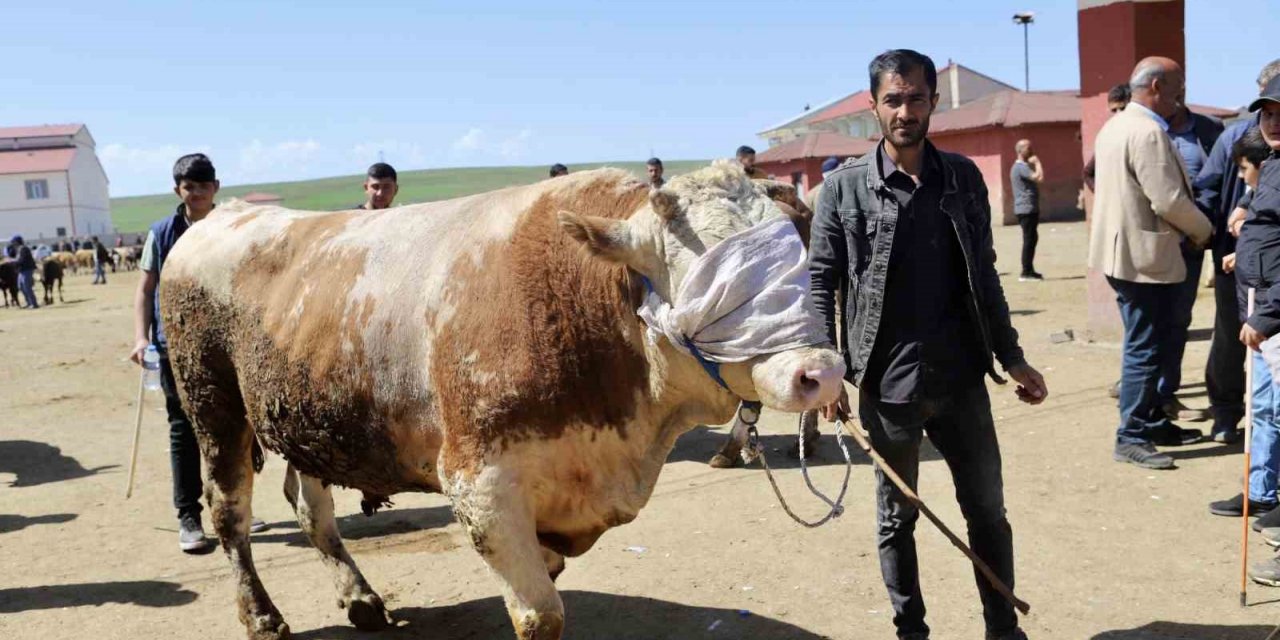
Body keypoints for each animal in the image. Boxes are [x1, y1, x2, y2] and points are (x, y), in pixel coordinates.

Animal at [160, 162, 844, 637]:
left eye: (797, 255)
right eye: (708, 278)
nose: (821, 373)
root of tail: (217, 219)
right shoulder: (480, 483)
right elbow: (541, 615)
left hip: (310, 419)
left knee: (311, 509)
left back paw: (360, 598)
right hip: (213, 406)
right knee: (230, 514)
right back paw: (262, 616)